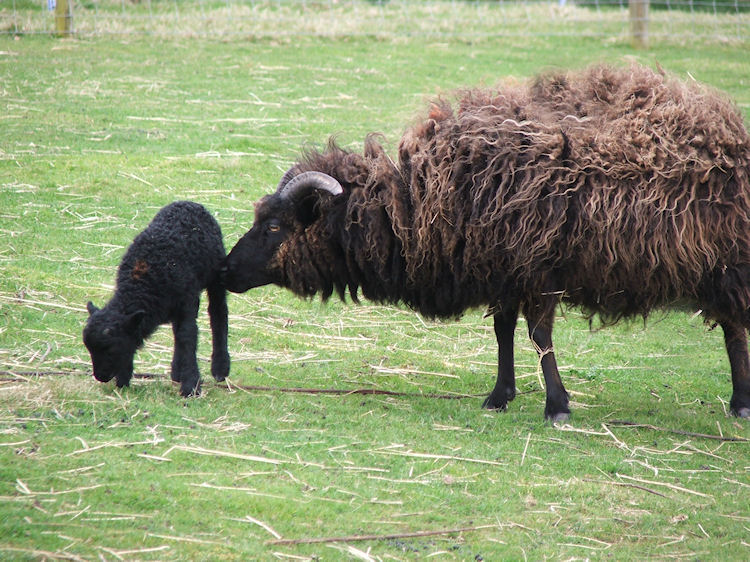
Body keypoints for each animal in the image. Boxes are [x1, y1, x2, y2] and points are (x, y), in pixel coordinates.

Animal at [84, 201, 230, 397]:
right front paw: (123, 380)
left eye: (111, 348)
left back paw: (220, 368)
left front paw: (191, 386)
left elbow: (187, 336)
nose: (100, 377)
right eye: (89, 349)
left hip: (215, 275)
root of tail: (189, 203)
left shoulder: (186, 302)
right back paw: (177, 371)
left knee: (218, 312)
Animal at [221, 63, 750, 421]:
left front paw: (557, 406)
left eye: (275, 227)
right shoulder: (502, 269)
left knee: (734, 329)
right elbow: (503, 332)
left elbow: (539, 336)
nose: (225, 270)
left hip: (726, 264)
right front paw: (499, 396)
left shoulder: (536, 268)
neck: (415, 206)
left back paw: (740, 402)